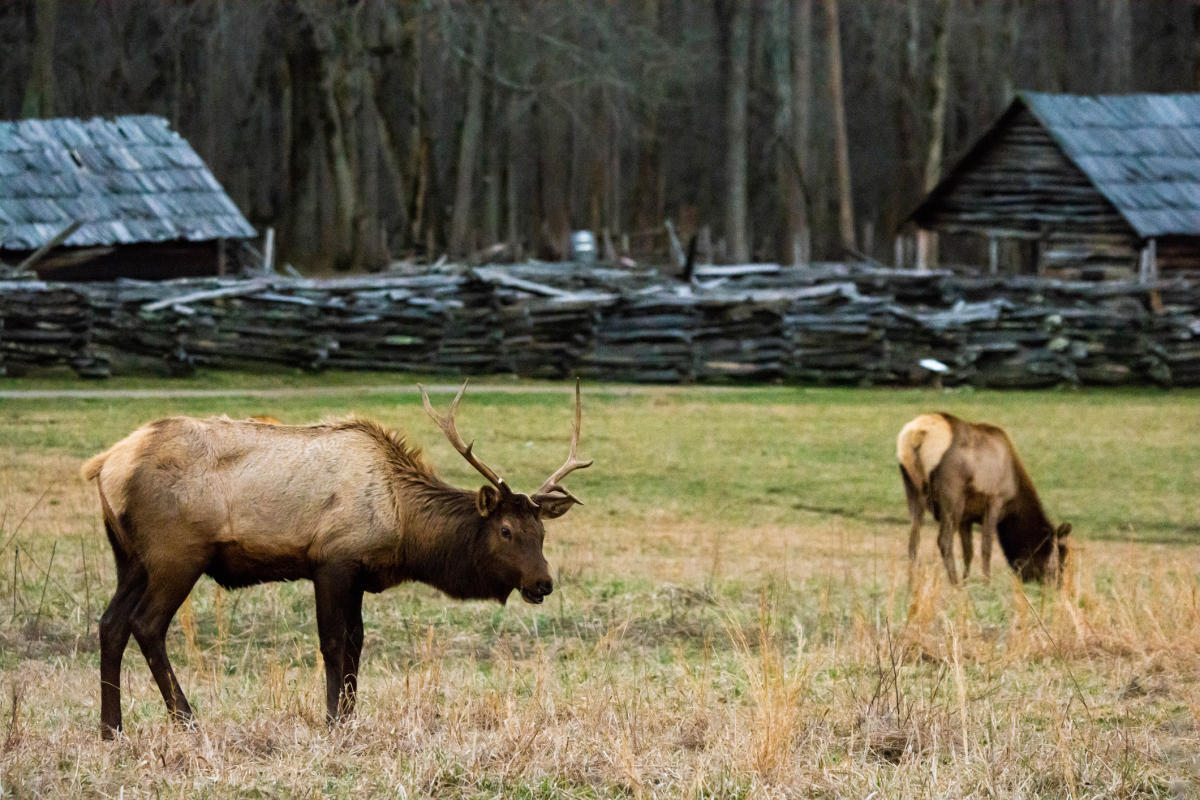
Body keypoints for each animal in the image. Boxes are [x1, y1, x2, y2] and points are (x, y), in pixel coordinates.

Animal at [81, 381, 592, 739]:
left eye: (541, 532)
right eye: (506, 531)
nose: (542, 583)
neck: (403, 526)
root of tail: (103, 465)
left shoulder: (359, 573)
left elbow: (357, 643)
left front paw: (349, 716)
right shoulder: (332, 560)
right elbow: (332, 642)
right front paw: (332, 721)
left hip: (131, 559)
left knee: (110, 623)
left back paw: (111, 728)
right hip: (176, 553)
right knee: (146, 624)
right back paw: (186, 720)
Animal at [897, 412, 1070, 585]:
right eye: (1059, 556)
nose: (1058, 585)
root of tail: (918, 434)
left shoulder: (966, 518)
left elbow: (968, 551)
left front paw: (967, 581)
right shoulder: (995, 500)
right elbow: (986, 548)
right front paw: (986, 583)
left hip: (912, 489)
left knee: (913, 541)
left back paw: (911, 584)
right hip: (951, 494)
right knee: (944, 541)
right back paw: (954, 584)